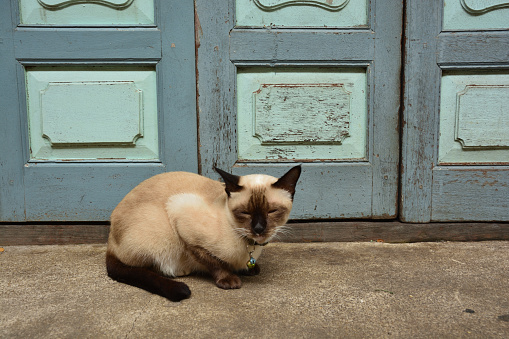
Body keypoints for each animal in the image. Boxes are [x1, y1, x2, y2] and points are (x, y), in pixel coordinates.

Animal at [104, 166, 300, 302]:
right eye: (245, 212)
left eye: (272, 211)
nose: (258, 228)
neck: (249, 246)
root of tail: (110, 241)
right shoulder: (183, 219)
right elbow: (213, 262)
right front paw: (229, 278)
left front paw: (248, 269)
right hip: (161, 234)